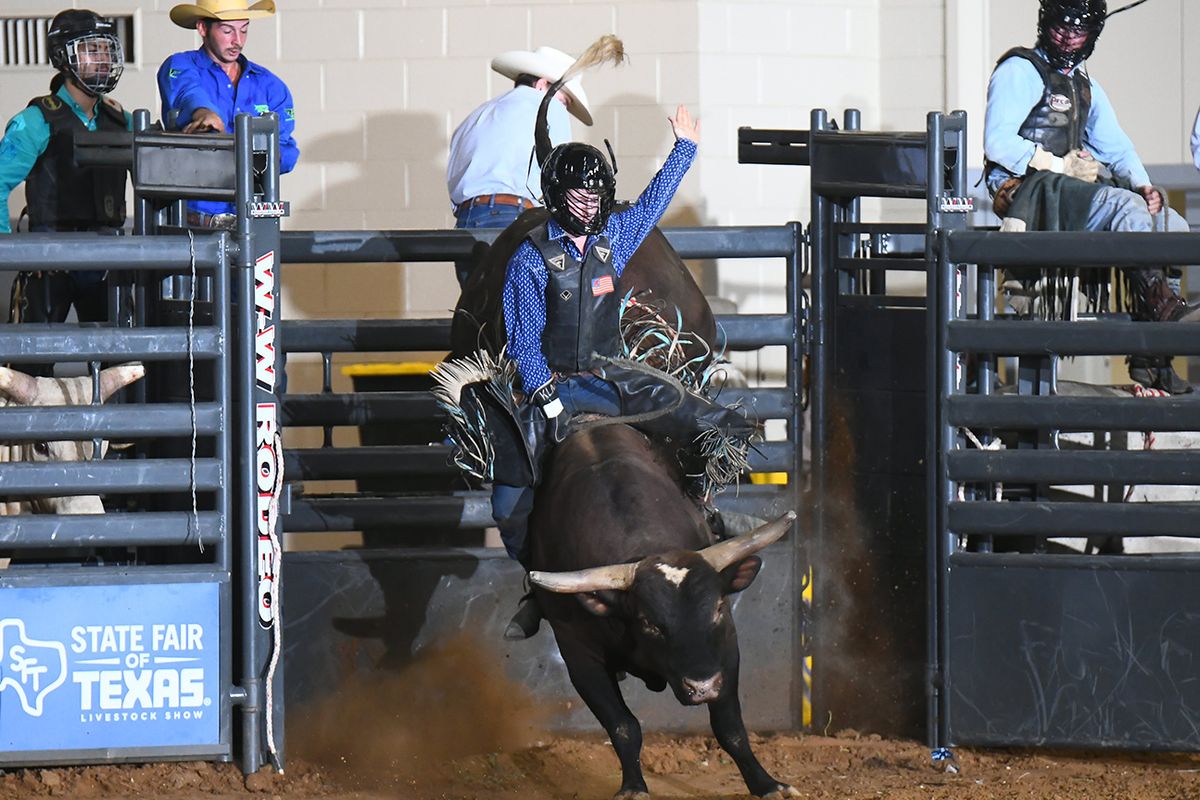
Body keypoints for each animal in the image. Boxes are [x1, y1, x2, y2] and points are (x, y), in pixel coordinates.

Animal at [451, 209, 796, 796]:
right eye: (653, 624)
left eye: (717, 607)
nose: (701, 685)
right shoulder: (577, 649)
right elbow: (623, 726)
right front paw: (633, 784)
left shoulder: (725, 643)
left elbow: (730, 726)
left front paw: (766, 782)